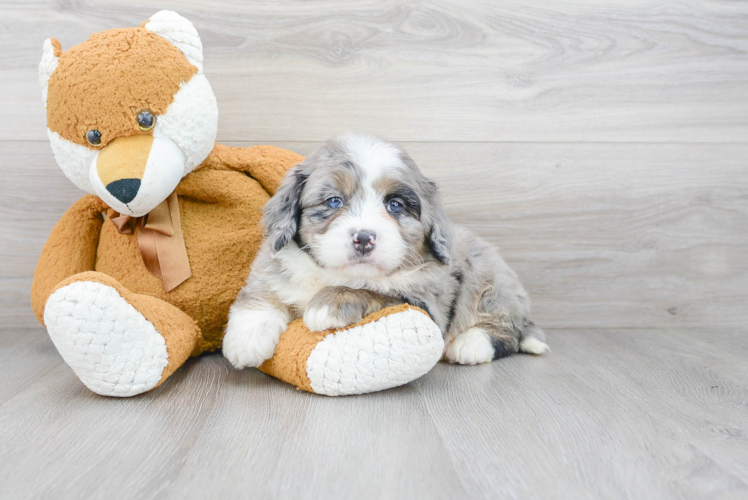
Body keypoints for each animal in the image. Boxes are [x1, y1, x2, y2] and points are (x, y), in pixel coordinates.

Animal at [224, 133, 548, 368]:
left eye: (395, 205)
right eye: (334, 201)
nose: (364, 238)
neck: (334, 275)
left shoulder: (423, 302)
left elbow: (374, 291)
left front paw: (329, 302)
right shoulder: (274, 263)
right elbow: (262, 294)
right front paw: (246, 340)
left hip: (489, 281)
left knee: (507, 331)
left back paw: (470, 345)